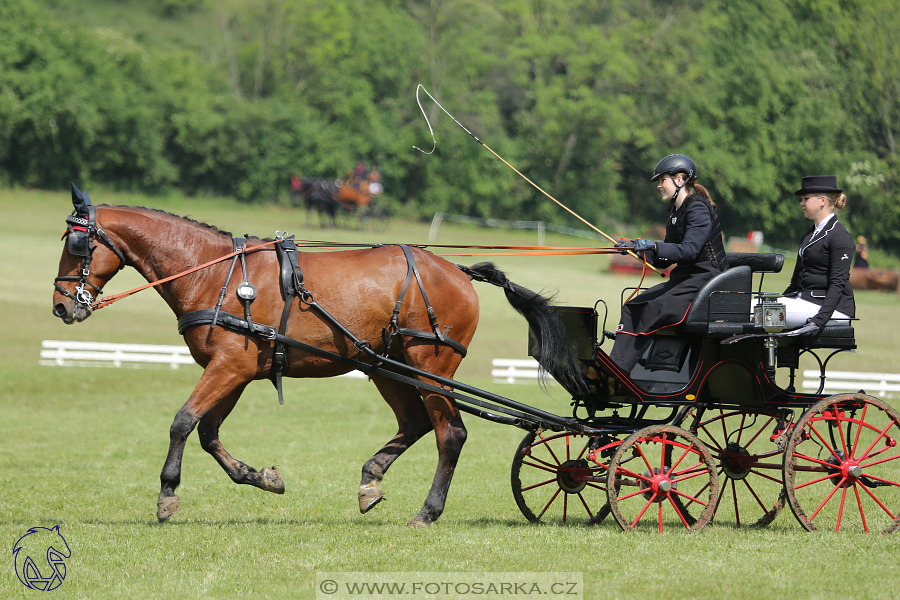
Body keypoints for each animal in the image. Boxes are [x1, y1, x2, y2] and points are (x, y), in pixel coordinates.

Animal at [52, 186, 584, 524]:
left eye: (77, 243)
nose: (61, 306)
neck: (212, 273)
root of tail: (456, 270)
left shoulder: (230, 366)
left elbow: (183, 422)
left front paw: (167, 494)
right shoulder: (236, 370)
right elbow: (208, 432)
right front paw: (260, 476)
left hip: (430, 365)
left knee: (449, 433)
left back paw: (428, 512)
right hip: (386, 366)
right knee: (414, 423)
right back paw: (371, 480)